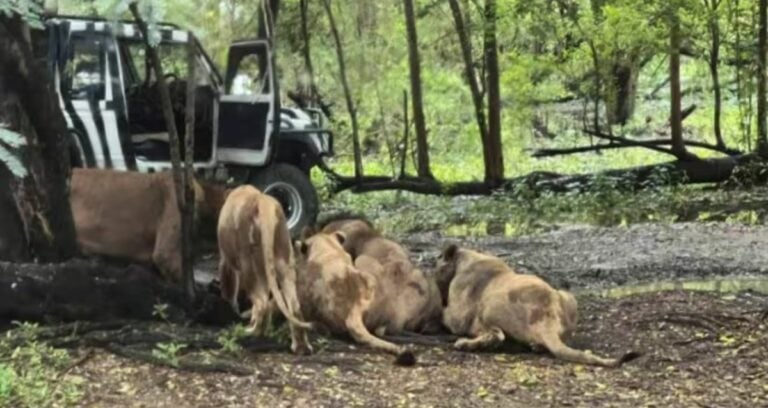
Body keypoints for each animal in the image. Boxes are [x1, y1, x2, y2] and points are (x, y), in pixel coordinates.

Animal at [217, 185, 312, 355]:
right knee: (293, 306)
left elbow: (230, 287)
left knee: (261, 302)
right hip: (283, 257)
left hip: (249, 262)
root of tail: (263, 202)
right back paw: (301, 347)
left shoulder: (226, 259)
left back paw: (252, 332)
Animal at [434, 245, 639, 367]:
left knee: (497, 336)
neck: (466, 258)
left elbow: (444, 314)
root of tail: (548, 315)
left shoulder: (458, 316)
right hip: (567, 296)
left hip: (492, 304)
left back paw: (464, 344)